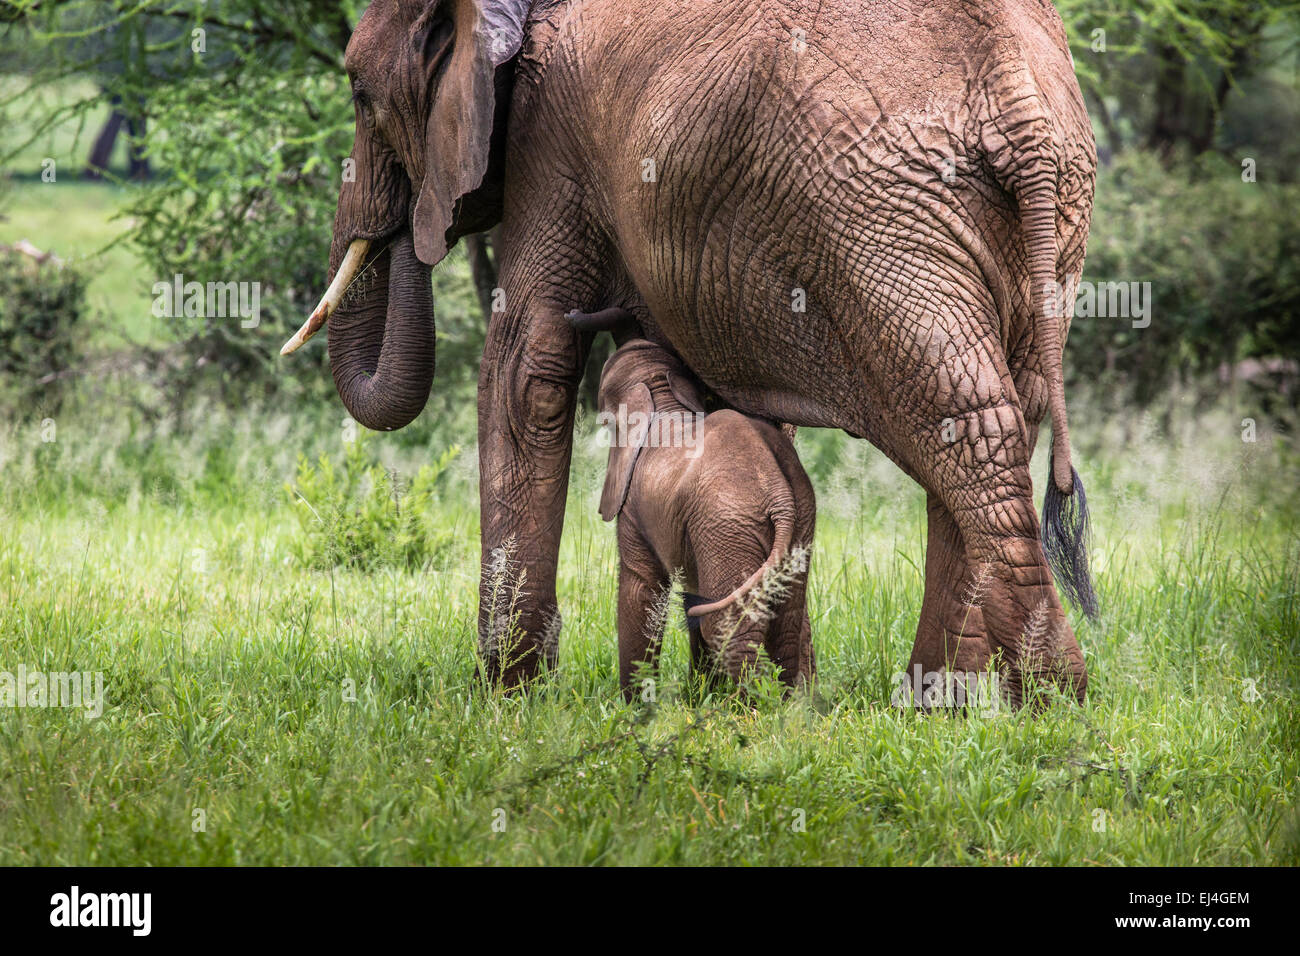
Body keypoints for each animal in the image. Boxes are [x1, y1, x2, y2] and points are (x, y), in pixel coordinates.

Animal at [569, 310, 811, 697]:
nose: (574, 315)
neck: (660, 394)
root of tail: (780, 494)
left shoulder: (634, 506)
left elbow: (641, 588)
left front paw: (634, 703)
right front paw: (698, 696)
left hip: (729, 523)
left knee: (725, 628)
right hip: (793, 521)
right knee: (784, 625)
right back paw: (787, 708)